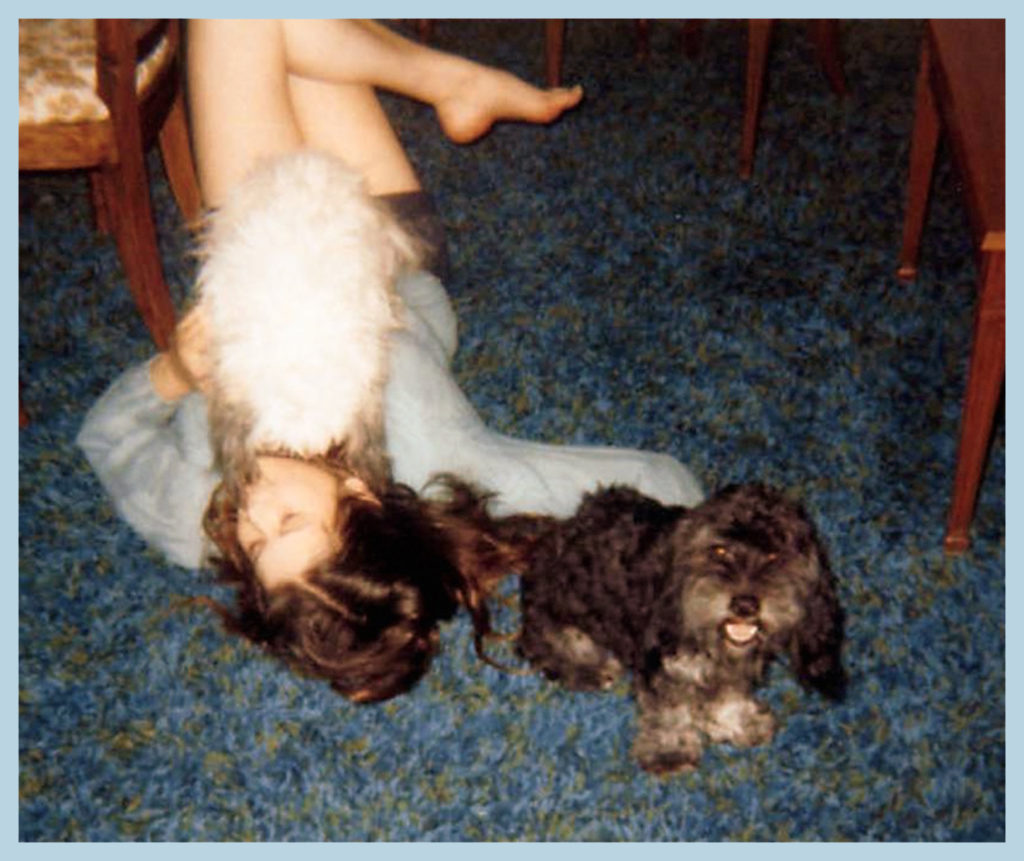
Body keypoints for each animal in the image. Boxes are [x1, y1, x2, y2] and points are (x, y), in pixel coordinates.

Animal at [516, 483, 843, 773]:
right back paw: (588, 670)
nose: (745, 605)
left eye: (776, 556)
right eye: (720, 551)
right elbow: (670, 712)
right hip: (562, 619)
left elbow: (729, 695)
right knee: (548, 647)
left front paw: (737, 723)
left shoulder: (732, 670)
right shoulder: (663, 665)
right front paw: (670, 753)